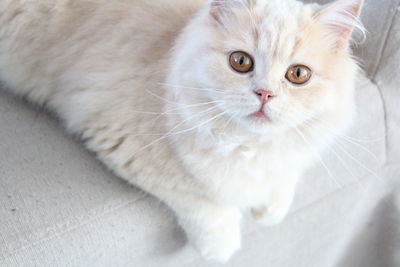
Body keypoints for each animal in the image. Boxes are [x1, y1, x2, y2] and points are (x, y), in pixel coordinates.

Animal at [0, 0, 364, 264]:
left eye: (298, 74)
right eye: (241, 62)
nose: (264, 94)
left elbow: (285, 178)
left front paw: (270, 210)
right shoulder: (125, 143)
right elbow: (200, 197)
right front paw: (222, 246)